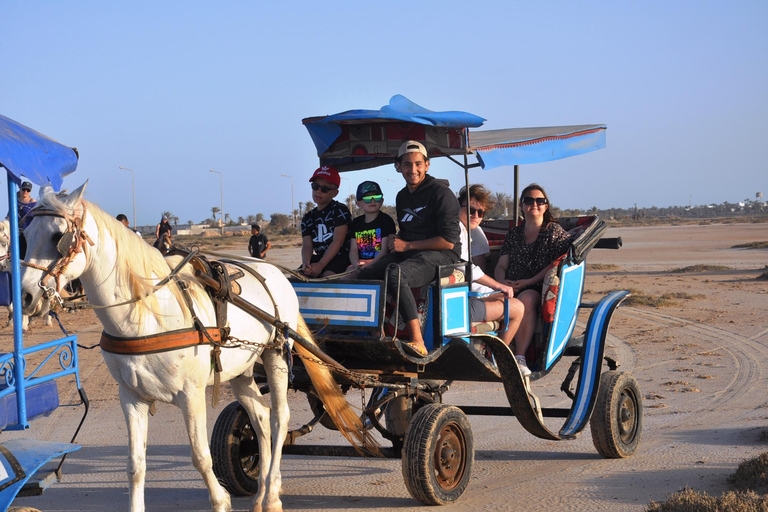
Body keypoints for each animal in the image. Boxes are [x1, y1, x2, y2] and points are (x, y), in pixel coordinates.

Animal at [19, 184, 374, 512]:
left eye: (58, 236)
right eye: (25, 234)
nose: (25, 296)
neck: (149, 314)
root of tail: (277, 275)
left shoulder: (190, 394)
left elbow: (201, 457)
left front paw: (221, 501)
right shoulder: (131, 397)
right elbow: (135, 466)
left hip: (275, 354)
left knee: (279, 418)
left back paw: (272, 494)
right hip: (242, 370)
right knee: (260, 417)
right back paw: (260, 493)